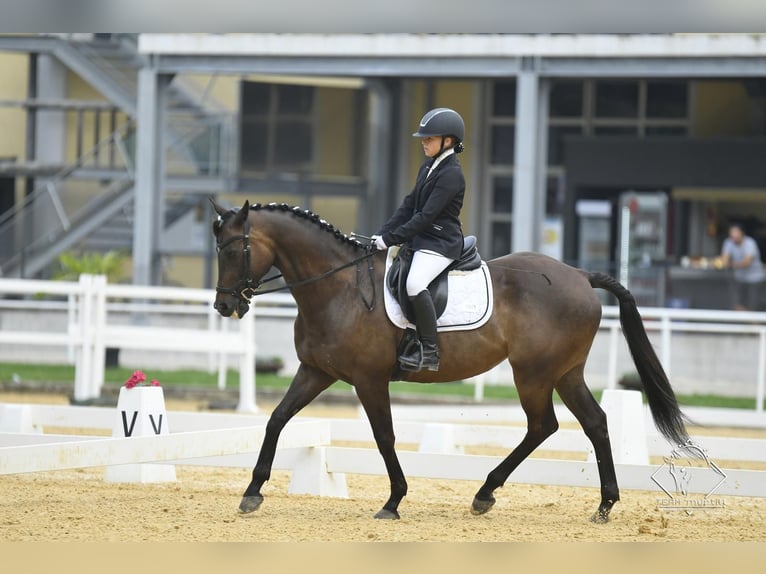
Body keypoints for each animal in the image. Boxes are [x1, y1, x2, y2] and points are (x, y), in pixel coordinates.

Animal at [210, 200, 688, 524]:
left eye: (232, 251)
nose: (224, 306)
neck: (339, 288)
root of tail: (581, 276)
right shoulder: (316, 372)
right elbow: (276, 419)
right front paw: (252, 491)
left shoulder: (368, 380)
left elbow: (384, 436)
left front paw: (393, 501)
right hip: (564, 373)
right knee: (593, 422)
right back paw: (603, 504)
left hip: (534, 373)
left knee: (543, 425)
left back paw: (486, 493)